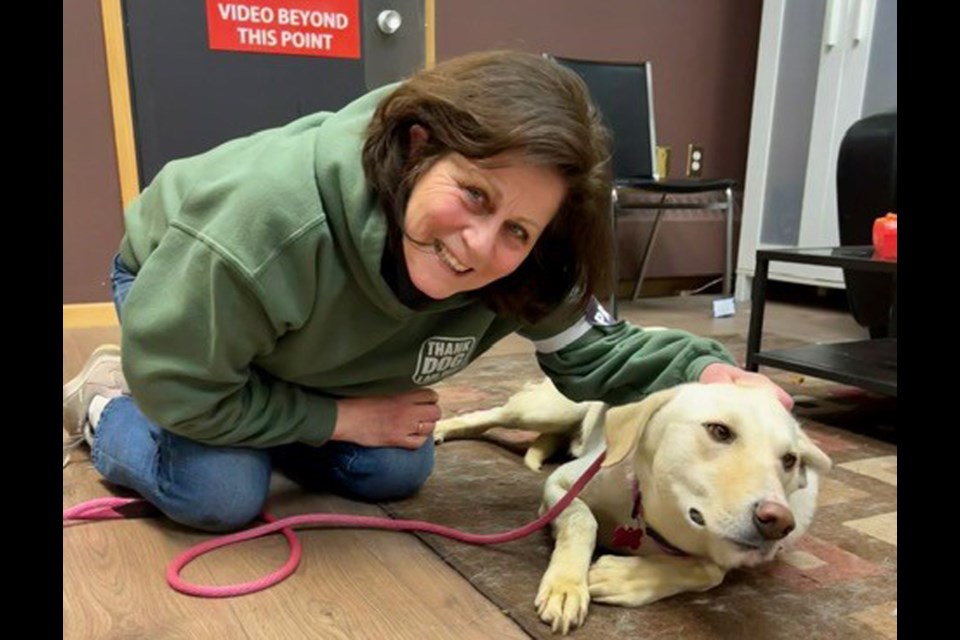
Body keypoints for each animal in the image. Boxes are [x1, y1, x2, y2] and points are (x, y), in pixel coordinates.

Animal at [436, 378, 832, 632]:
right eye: (719, 431)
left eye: (790, 460)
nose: (778, 521)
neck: (656, 521)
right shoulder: (561, 485)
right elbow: (583, 520)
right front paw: (567, 586)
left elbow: (711, 571)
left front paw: (623, 577)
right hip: (545, 408)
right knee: (486, 416)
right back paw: (440, 428)